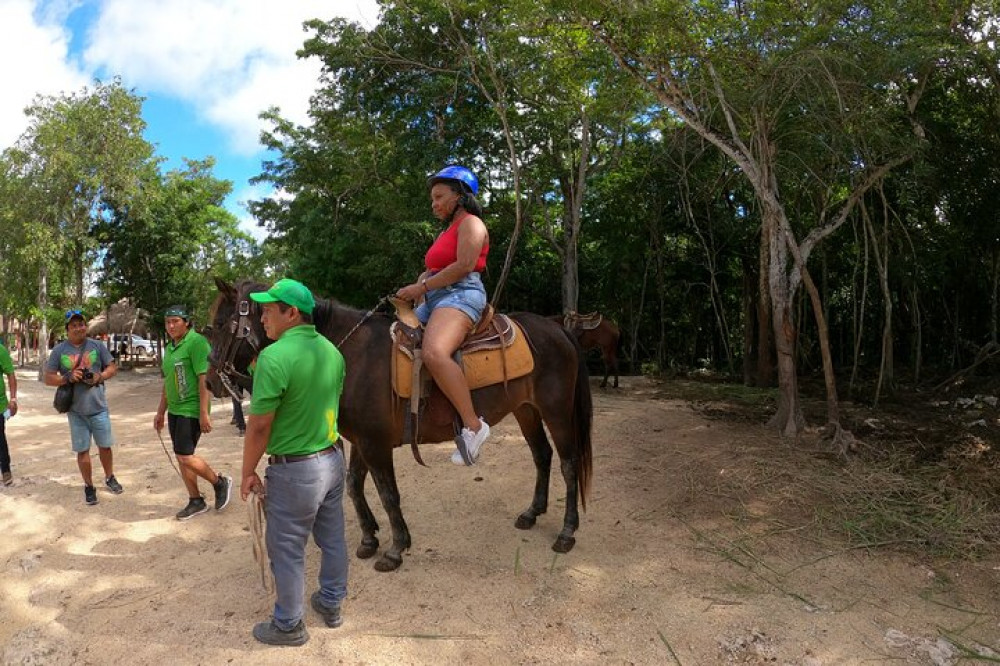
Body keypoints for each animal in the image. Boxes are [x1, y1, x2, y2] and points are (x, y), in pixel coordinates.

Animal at [207, 278, 588, 572]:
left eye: (222, 323)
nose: (210, 380)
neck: (348, 355)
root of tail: (558, 328)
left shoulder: (375, 443)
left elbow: (388, 494)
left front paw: (395, 547)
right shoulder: (362, 440)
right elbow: (353, 485)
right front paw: (368, 538)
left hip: (556, 411)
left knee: (569, 464)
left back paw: (567, 532)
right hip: (526, 410)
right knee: (542, 455)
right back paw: (532, 512)